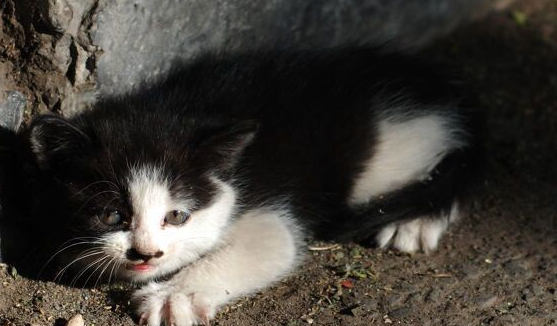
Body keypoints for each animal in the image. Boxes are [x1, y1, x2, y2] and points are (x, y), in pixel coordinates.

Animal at [15, 49, 476, 326]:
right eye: (112, 214)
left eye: (176, 215)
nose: (146, 254)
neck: (170, 107)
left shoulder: (268, 203)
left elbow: (273, 241)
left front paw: (174, 296)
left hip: (393, 148)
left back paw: (415, 222)